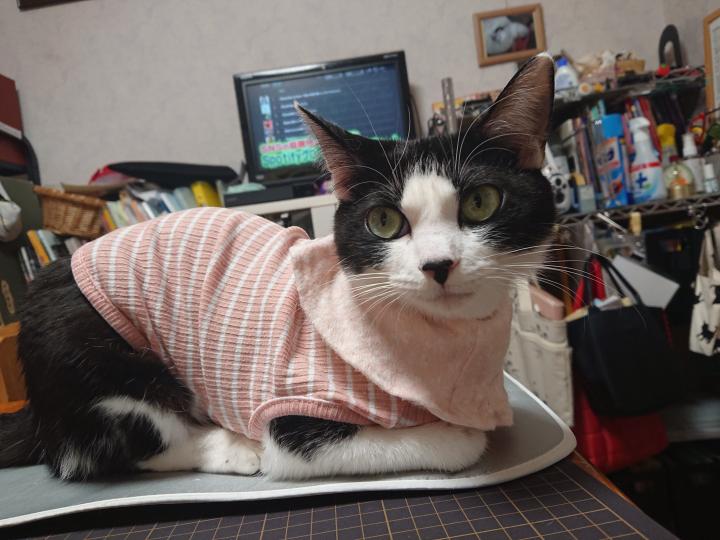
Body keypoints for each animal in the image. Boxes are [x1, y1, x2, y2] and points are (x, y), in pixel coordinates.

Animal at [0, 54, 555, 481]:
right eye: (384, 221)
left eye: (481, 202)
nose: (438, 264)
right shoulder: (294, 412)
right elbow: (441, 443)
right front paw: (456, 432)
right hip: (101, 363)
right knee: (103, 450)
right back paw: (229, 446)